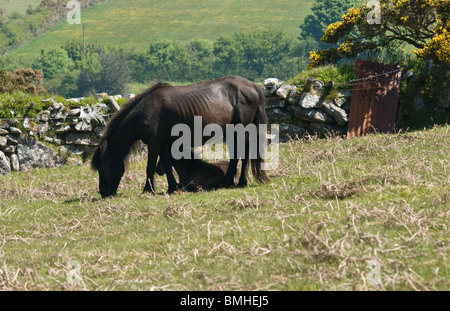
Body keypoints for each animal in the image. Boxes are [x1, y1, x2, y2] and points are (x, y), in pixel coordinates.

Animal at [90, 75, 268, 197]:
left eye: (101, 167)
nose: (103, 192)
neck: (144, 110)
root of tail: (253, 87)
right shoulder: (163, 143)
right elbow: (167, 165)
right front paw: (172, 187)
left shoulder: (153, 143)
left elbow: (149, 167)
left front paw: (147, 190)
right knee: (236, 156)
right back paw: (230, 182)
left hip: (241, 130)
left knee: (242, 155)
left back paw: (238, 183)